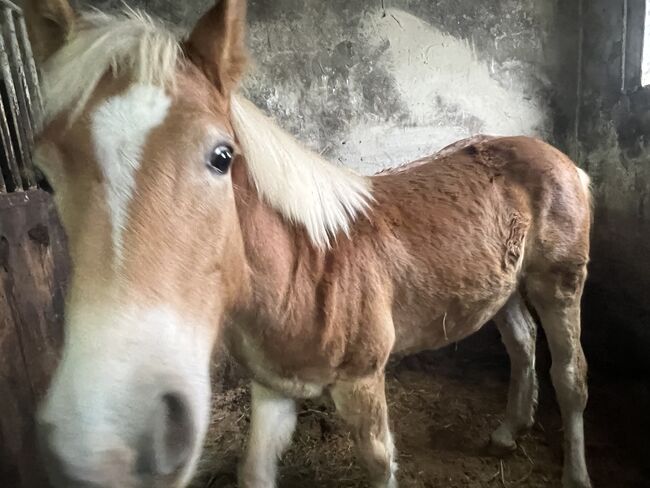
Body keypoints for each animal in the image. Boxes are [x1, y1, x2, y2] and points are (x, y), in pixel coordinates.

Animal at [25, 0, 588, 488]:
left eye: (222, 156)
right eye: (44, 174)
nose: (113, 443)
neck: (306, 269)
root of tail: (560, 158)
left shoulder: (362, 383)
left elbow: (379, 463)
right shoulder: (274, 388)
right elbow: (254, 470)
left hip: (559, 285)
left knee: (570, 377)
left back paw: (575, 472)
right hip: (504, 287)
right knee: (522, 345)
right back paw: (506, 433)